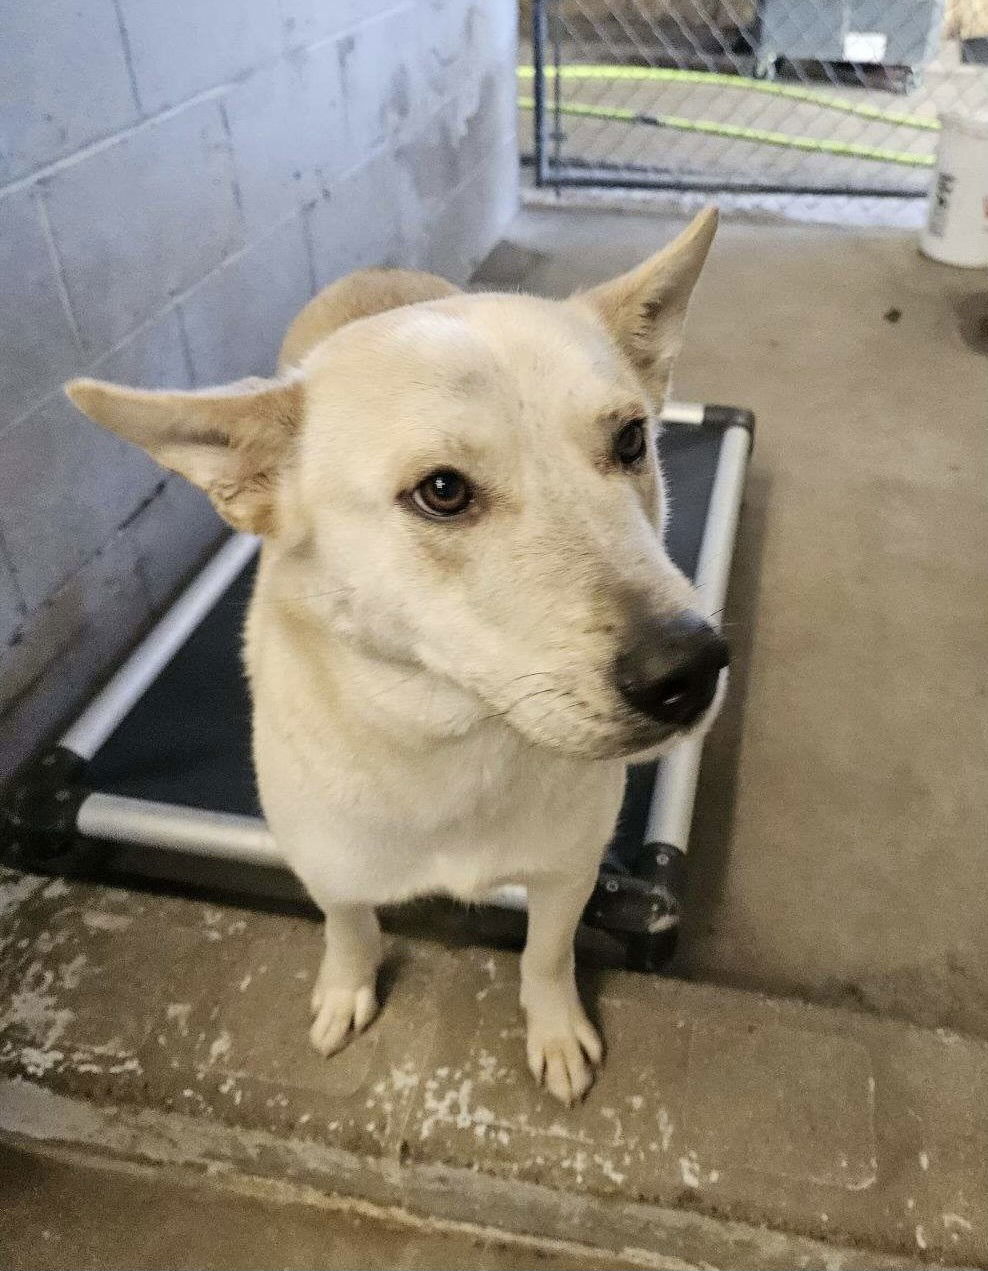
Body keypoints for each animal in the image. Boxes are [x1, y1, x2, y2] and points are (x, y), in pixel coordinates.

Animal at [63, 205, 722, 1103]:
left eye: (630, 441)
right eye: (442, 491)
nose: (690, 668)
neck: (454, 741)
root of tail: (375, 273)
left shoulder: (568, 872)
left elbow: (545, 956)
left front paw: (554, 1029)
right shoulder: (327, 865)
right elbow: (349, 929)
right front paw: (346, 990)